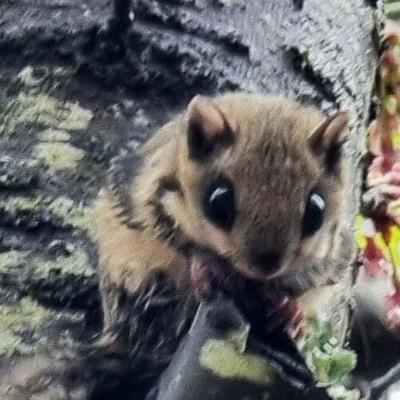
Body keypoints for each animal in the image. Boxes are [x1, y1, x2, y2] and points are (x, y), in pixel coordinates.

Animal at [94, 92, 356, 336]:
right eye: (218, 202)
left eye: (316, 212)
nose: (265, 267)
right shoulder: (150, 203)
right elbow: (182, 243)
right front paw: (205, 266)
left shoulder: (336, 256)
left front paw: (292, 312)